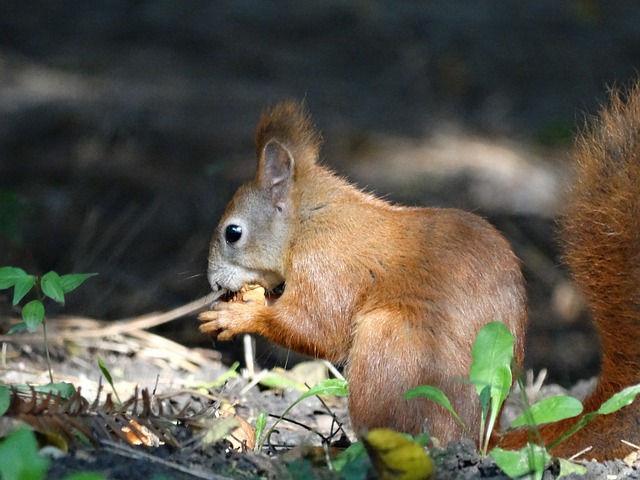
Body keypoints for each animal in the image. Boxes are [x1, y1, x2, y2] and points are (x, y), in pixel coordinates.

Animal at [200, 83, 640, 462]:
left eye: (233, 232)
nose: (214, 282)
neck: (308, 221)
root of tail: (478, 439)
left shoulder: (326, 266)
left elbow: (317, 327)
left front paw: (238, 315)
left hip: (391, 348)